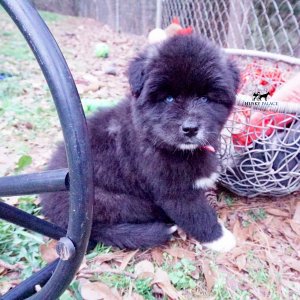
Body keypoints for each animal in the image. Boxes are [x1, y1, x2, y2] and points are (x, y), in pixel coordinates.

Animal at [41, 34, 240, 252]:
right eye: (168, 98)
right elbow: (199, 215)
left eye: (205, 98)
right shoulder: (175, 193)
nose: (190, 129)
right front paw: (221, 239)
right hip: (113, 202)